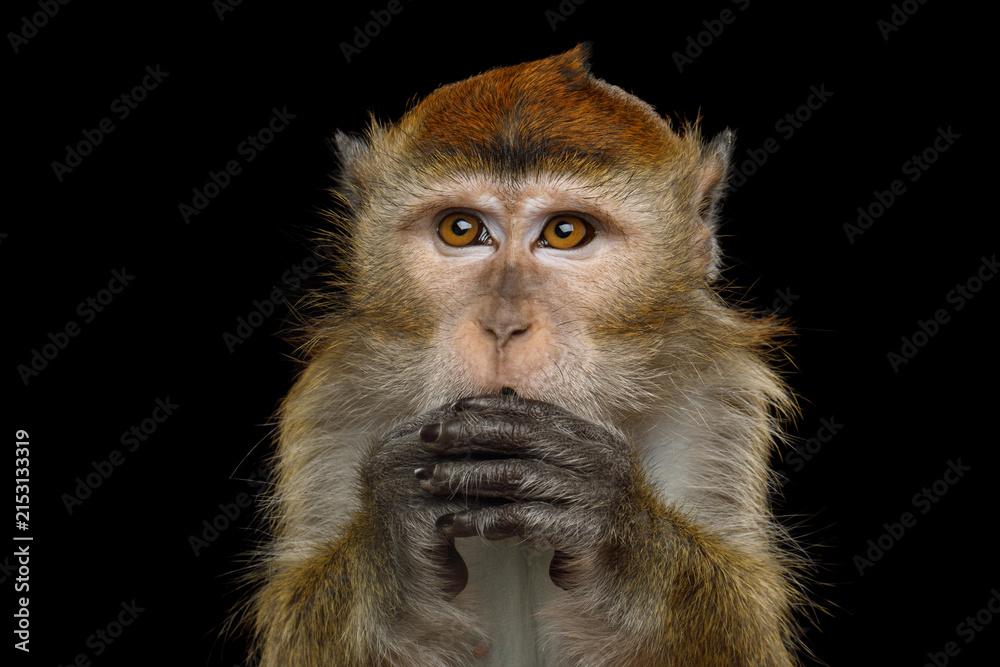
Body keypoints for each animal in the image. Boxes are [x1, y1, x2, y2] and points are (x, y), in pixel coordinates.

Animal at [246, 44, 806, 666]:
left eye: (565, 232)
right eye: (461, 229)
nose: (503, 324)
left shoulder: (713, 397)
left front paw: (611, 523)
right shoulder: (334, 398)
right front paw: (393, 528)